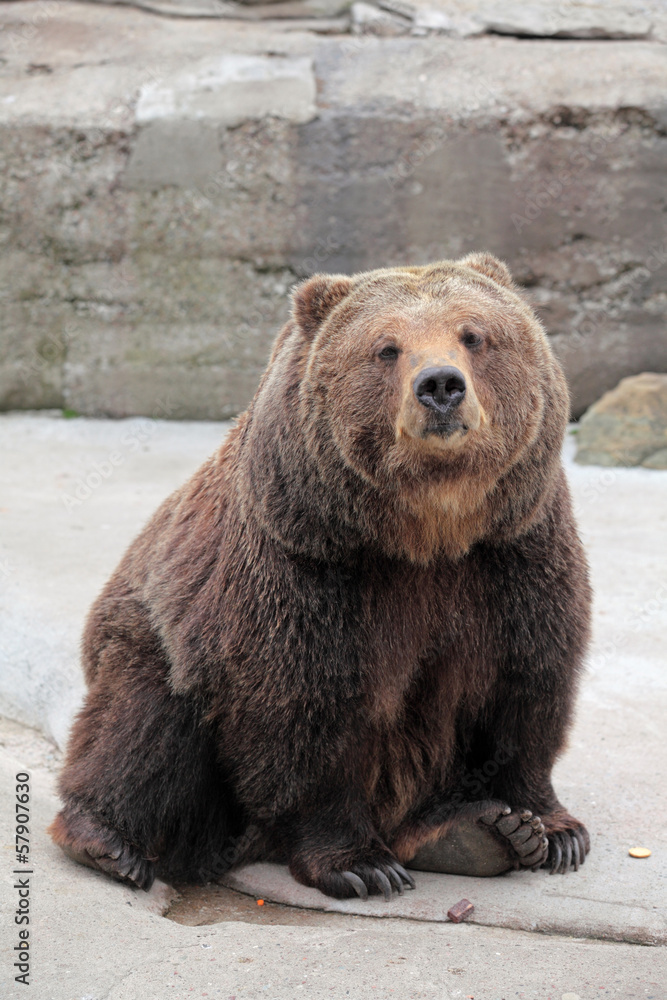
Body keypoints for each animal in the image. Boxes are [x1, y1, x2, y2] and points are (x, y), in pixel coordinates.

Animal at [49, 252, 592, 900]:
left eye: (473, 334)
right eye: (386, 348)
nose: (440, 385)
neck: (431, 530)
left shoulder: (515, 553)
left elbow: (527, 685)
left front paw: (548, 829)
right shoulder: (309, 564)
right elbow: (311, 709)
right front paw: (360, 864)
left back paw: (473, 833)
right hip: (159, 630)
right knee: (142, 720)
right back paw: (107, 841)